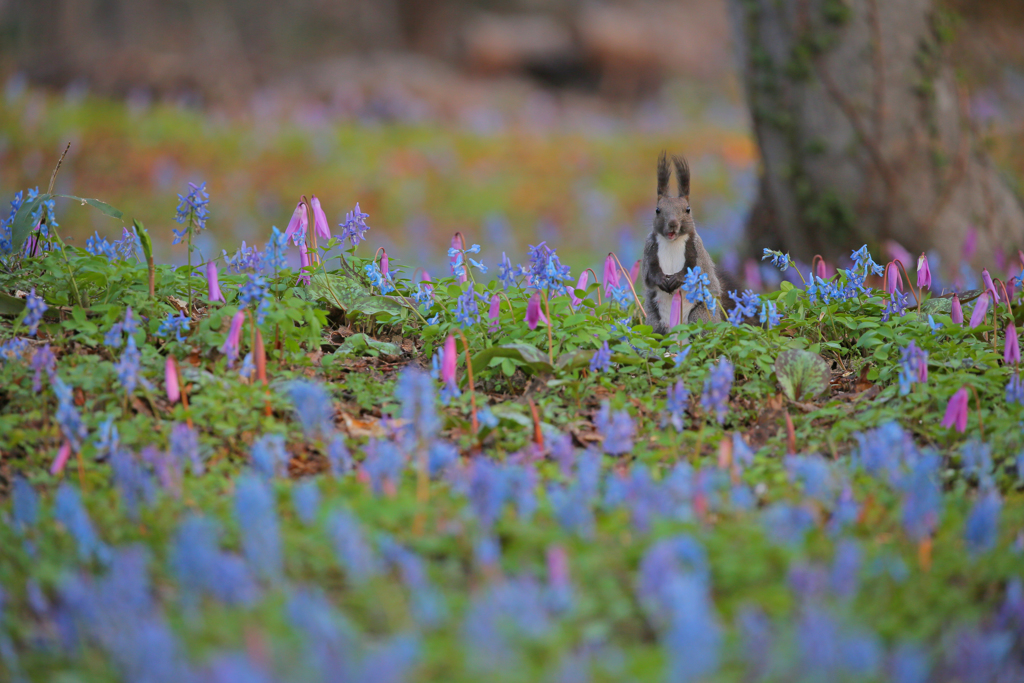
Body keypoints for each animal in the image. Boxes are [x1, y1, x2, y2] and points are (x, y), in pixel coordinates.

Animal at [643, 151, 724, 333]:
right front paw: (661, 279)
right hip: (653, 323)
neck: (672, 242)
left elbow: (698, 272)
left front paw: (677, 279)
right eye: (657, 210)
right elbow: (649, 275)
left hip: (701, 315)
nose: (673, 223)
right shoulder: (649, 249)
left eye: (687, 209)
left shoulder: (697, 249)